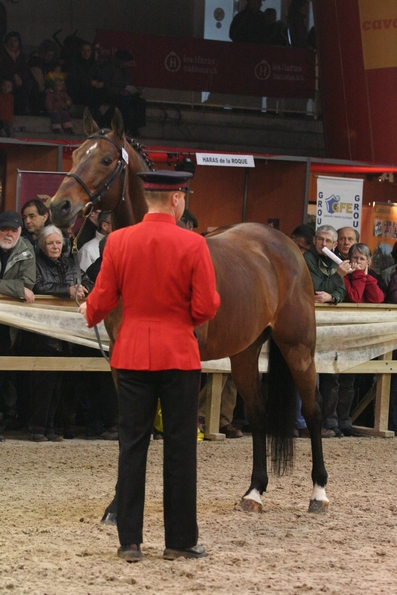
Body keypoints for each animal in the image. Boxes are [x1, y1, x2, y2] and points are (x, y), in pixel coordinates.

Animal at [50, 109, 328, 520]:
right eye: (74, 155)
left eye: (106, 159)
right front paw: (118, 506)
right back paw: (254, 492)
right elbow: (132, 430)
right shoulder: (122, 359)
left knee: (312, 411)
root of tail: (284, 245)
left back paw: (319, 493)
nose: (59, 207)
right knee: (258, 413)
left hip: (298, 348)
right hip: (244, 353)